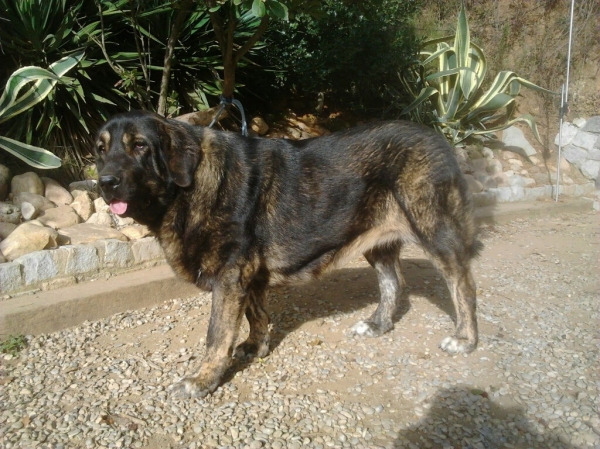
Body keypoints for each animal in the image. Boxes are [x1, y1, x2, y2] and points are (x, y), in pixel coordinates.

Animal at [95, 110, 482, 398]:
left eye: (140, 146)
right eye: (101, 150)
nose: (104, 182)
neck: (191, 187)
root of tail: (439, 138)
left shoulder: (230, 276)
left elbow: (216, 334)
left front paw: (202, 381)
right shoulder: (248, 275)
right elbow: (256, 314)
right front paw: (256, 347)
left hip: (435, 230)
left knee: (462, 283)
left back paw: (465, 339)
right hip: (376, 240)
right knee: (393, 281)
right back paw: (378, 324)